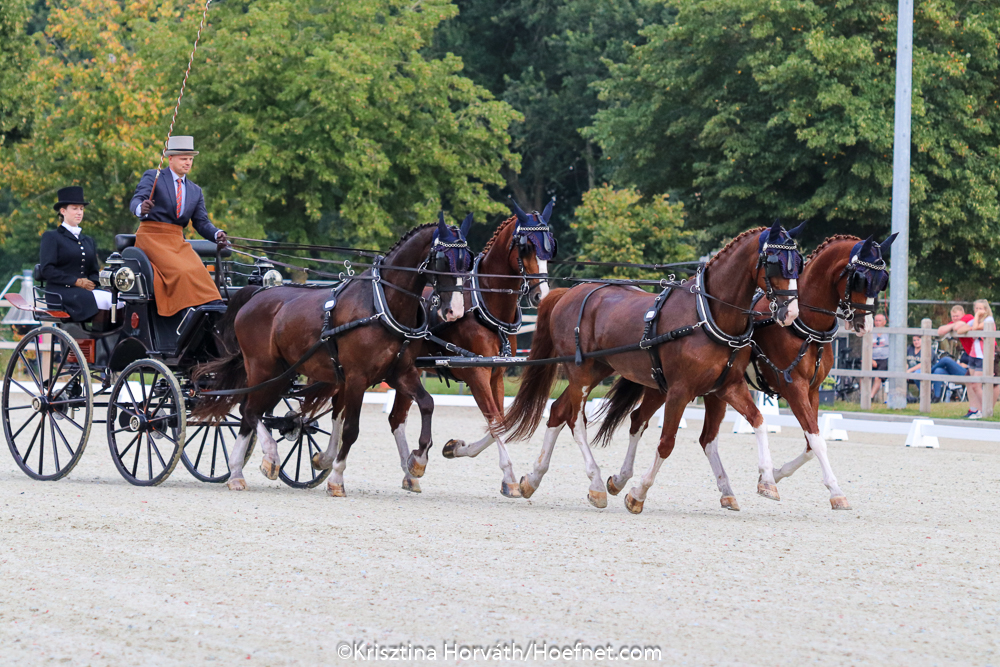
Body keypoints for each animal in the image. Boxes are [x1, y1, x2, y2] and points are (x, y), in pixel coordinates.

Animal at [196, 219, 476, 496]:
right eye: (442, 259)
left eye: (467, 262)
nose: (455, 311)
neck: (382, 304)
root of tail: (255, 295)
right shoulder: (356, 378)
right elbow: (350, 429)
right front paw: (336, 478)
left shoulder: (401, 373)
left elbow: (427, 403)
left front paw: (417, 461)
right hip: (263, 368)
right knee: (249, 410)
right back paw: (269, 458)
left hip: (282, 374)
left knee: (249, 413)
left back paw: (236, 473)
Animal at [384, 201, 556, 498]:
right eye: (525, 247)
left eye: (550, 248)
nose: (541, 296)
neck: (484, 305)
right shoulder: (476, 375)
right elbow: (495, 422)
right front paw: (510, 478)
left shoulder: (495, 375)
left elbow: (501, 422)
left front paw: (454, 448)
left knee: (397, 419)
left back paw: (410, 474)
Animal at [500, 222, 804, 516]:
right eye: (775, 262)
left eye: (798, 264)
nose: (790, 313)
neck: (707, 315)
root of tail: (569, 292)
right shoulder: (680, 391)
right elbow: (666, 442)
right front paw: (638, 494)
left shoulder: (727, 387)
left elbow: (758, 421)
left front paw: (767, 481)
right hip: (581, 373)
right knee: (576, 421)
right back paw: (596, 484)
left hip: (598, 369)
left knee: (558, 411)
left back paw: (533, 479)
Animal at [596, 234, 896, 512]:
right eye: (861, 278)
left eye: (882, 280)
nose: (866, 324)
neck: (804, 325)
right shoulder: (793, 388)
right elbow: (816, 440)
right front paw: (834, 492)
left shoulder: (812, 390)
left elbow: (812, 443)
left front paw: (775, 475)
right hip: (667, 388)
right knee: (640, 421)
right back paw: (624, 483)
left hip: (707, 391)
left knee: (698, 436)